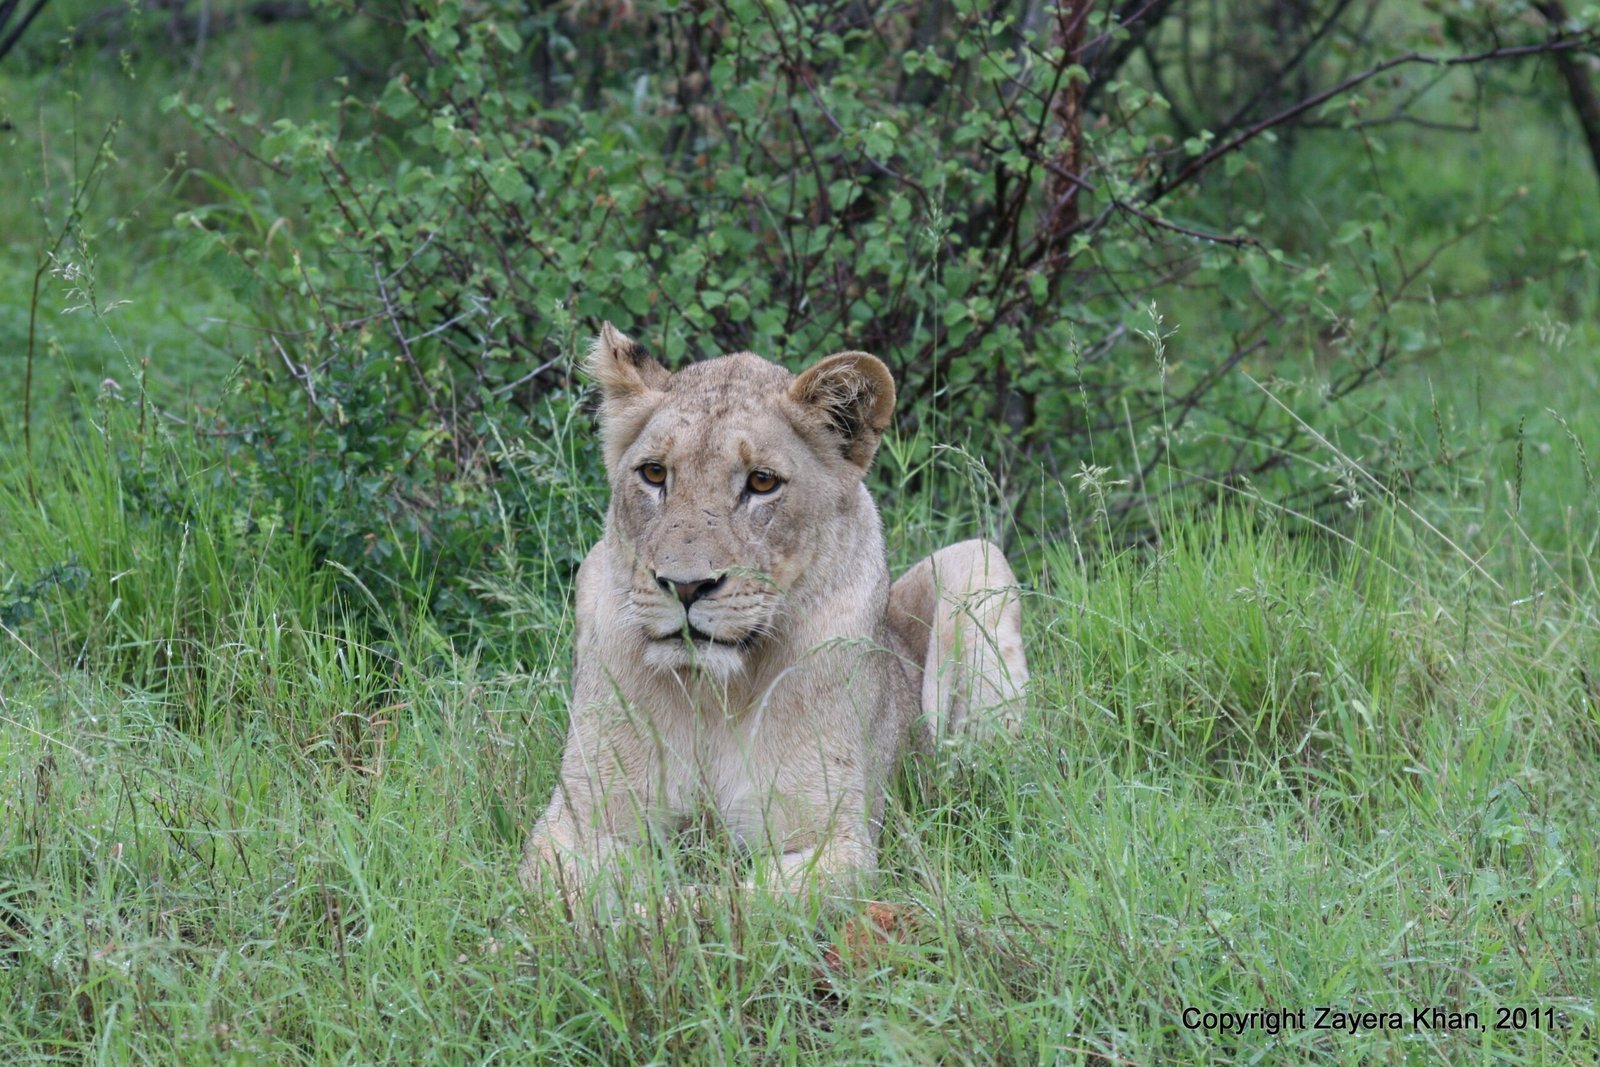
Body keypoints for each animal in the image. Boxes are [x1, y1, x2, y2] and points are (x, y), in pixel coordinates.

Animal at [519, 323, 1028, 907]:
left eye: (762, 482)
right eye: (653, 473)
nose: (685, 585)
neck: (711, 695)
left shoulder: (840, 843)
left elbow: (724, 903)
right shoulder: (572, 824)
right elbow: (579, 891)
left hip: (978, 559)